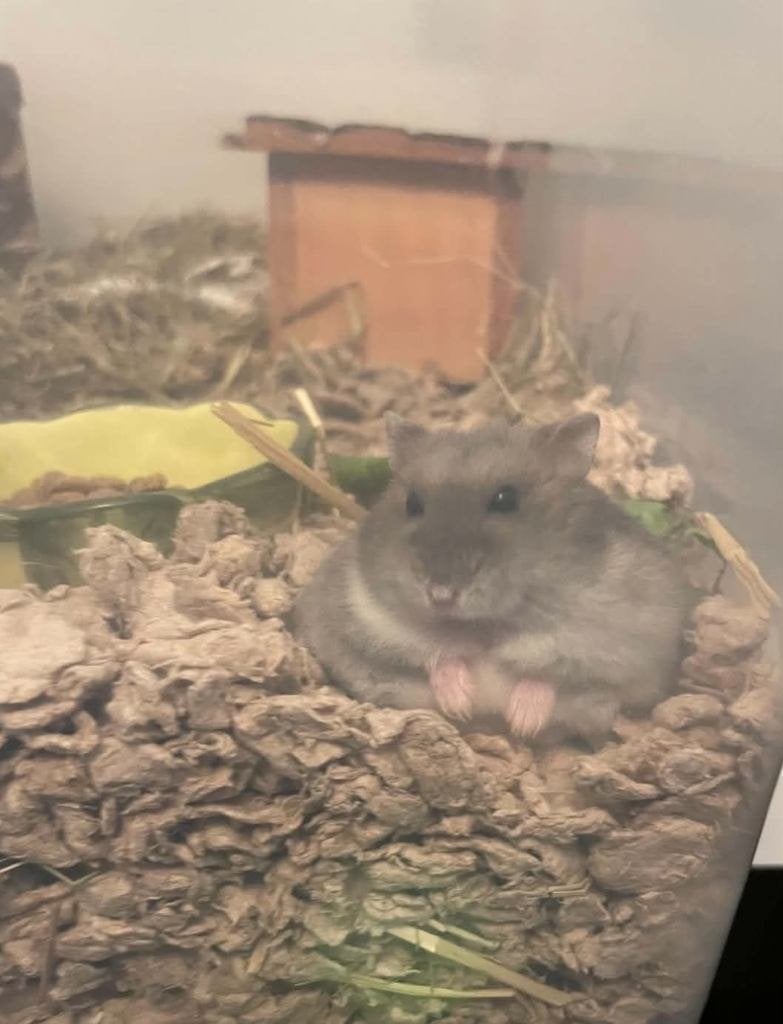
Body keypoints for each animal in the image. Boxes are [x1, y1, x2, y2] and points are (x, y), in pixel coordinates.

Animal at [294, 412, 690, 745]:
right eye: (412, 503)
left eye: (505, 499)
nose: (440, 594)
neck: (487, 626)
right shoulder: (366, 618)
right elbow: (435, 656)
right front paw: (460, 703)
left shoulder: (610, 643)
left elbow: (549, 673)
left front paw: (522, 721)